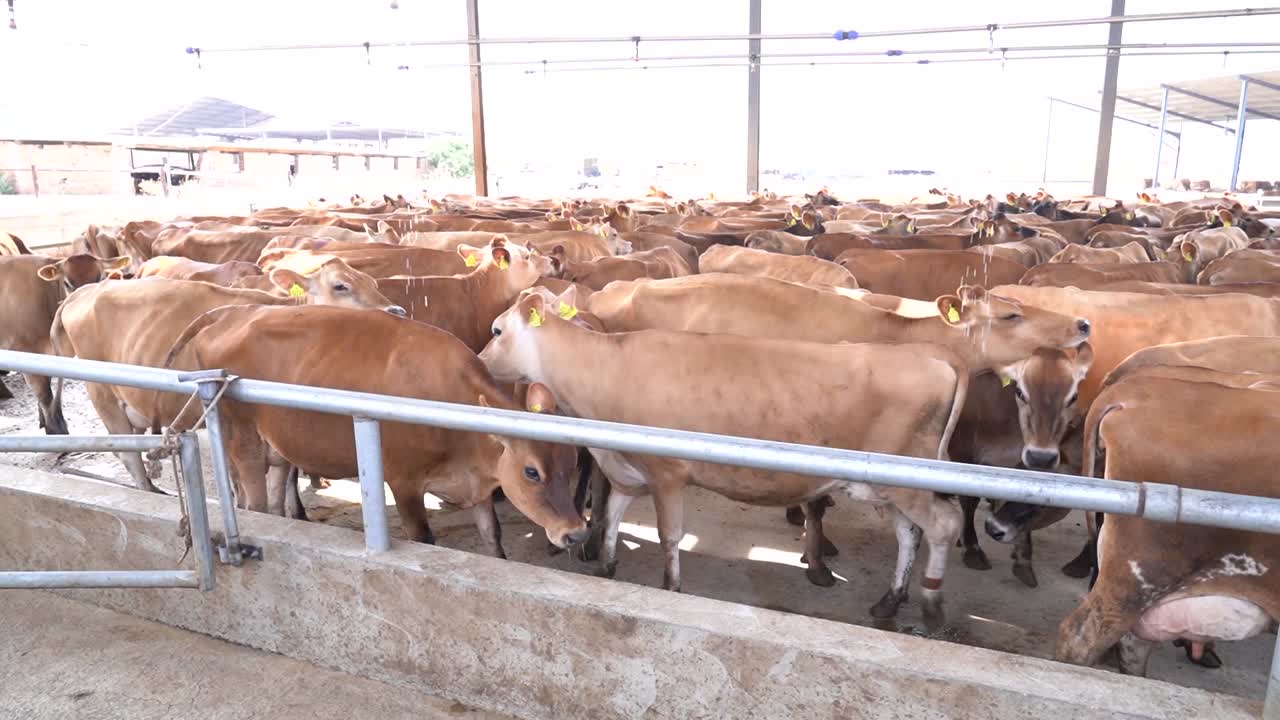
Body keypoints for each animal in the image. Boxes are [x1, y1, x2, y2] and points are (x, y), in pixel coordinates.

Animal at [51, 260, 405, 493]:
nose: (397, 312)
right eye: (340, 286)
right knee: (127, 455)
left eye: (374, 283)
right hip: (102, 394)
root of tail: (87, 290)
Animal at [165, 304, 589, 552]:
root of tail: (229, 314)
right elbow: (423, 537)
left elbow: (492, 534)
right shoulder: (403, 481)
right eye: (531, 471)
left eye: (572, 462)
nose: (576, 532)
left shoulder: (478, 484)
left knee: (272, 502)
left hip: (280, 451)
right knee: (253, 504)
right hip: (244, 444)